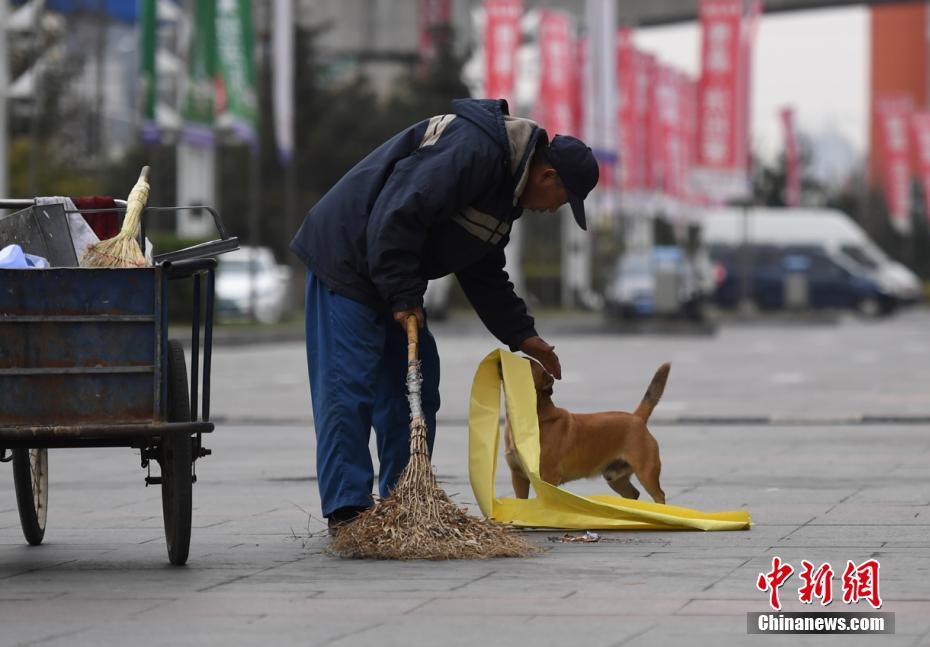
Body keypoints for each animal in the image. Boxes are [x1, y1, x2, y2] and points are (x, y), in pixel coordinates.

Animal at [508, 360, 668, 506]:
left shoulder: (548, 477)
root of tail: (637, 417)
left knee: (659, 495)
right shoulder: (518, 476)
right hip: (615, 477)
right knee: (633, 494)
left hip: (646, 473)